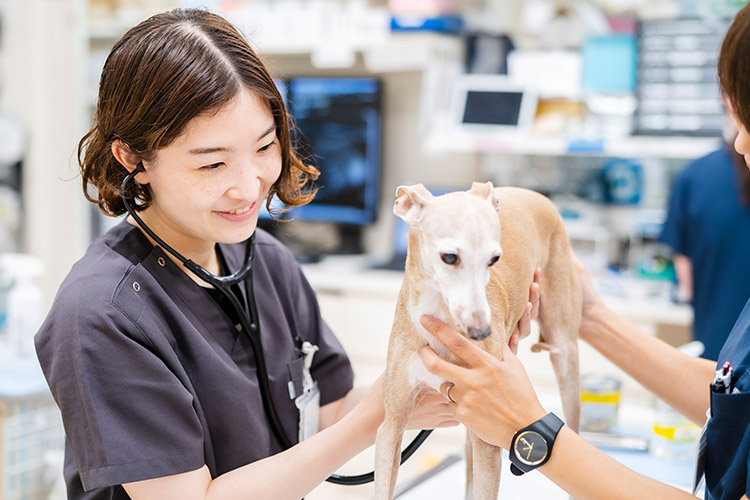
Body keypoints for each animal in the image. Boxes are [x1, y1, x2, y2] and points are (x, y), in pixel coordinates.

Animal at [374, 183, 580, 500]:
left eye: (494, 259)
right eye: (449, 257)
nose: (482, 332)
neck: (439, 318)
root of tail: (531, 192)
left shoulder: (488, 432)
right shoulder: (391, 425)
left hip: (564, 351)